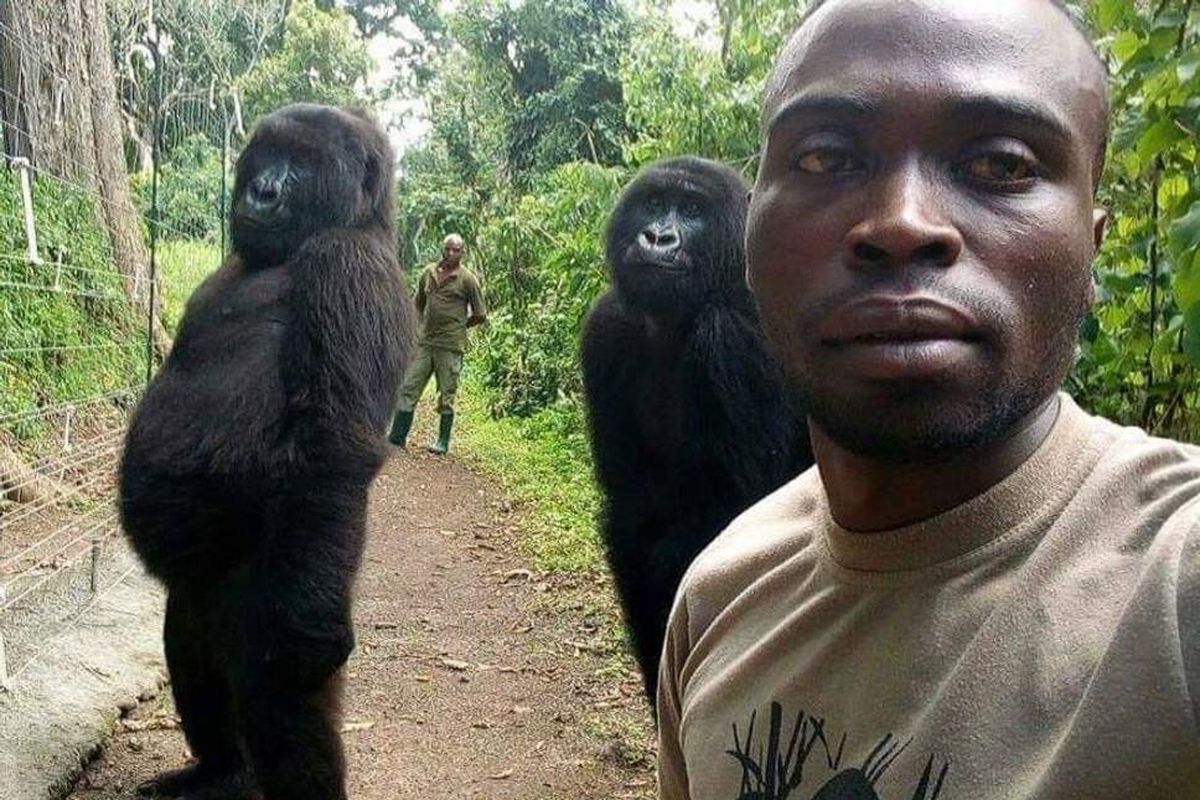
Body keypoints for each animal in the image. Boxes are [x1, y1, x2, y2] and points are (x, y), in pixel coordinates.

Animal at [120, 103, 412, 796]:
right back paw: (217, 770)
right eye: (267, 155)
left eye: (302, 164)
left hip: (273, 592)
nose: (262, 190)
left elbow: (333, 452)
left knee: (281, 706)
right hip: (199, 595)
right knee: (189, 648)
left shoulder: (348, 267)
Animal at [583, 158, 816, 705]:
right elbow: (632, 523)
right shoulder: (606, 327)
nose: (657, 237)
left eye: (691, 210)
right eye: (652, 203)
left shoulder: (729, 339)